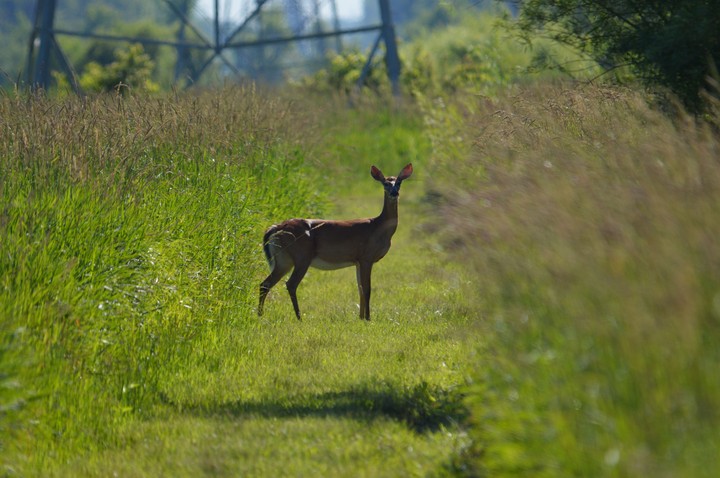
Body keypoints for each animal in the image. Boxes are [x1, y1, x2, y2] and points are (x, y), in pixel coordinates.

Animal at [258, 163, 413, 321]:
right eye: (385, 183)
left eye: (399, 182)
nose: (394, 193)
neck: (379, 227)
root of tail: (276, 227)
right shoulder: (366, 257)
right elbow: (367, 289)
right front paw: (368, 318)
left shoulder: (358, 260)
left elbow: (360, 289)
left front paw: (361, 318)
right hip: (301, 256)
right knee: (290, 284)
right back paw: (299, 317)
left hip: (283, 259)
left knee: (265, 284)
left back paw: (260, 314)